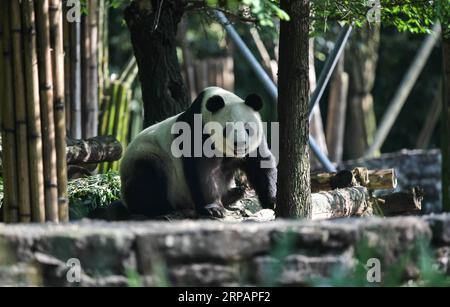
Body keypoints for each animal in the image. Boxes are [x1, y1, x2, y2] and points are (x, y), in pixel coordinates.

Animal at [119, 86, 276, 219]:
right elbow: (203, 170)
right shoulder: (196, 132)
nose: (240, 144)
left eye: (248, 128)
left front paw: (273, 202)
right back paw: (158, 207)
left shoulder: (254, 144)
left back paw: (235, 193)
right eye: (227, 129)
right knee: (147, 176)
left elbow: (261, 165)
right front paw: (214, 209)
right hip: (148, 156)